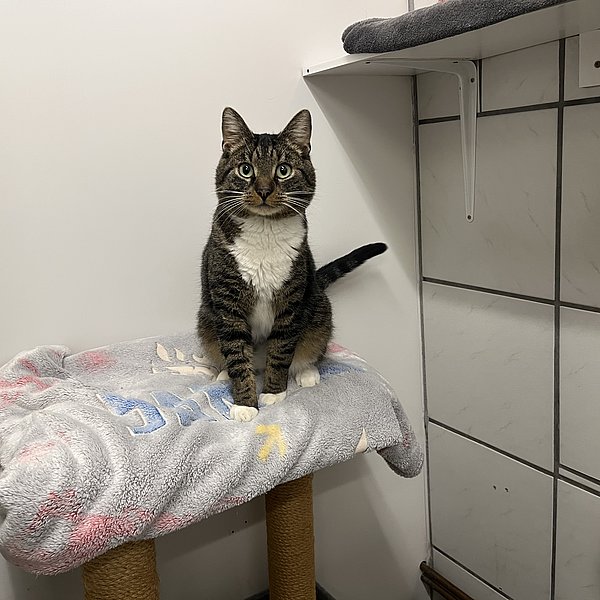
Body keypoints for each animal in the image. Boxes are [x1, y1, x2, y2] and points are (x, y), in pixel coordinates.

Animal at [197, 107, 386, 422]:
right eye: (245, 169)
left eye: (283, 170)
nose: (263, 190)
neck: (264, 231)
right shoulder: (228, 302)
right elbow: (236, 352)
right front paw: (246, 405)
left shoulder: (291, 300)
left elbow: (282, 348)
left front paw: (273, 393)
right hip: (206, 319)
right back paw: (223, 373)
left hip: (319, 309)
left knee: (310, 346)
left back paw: (307, 372)